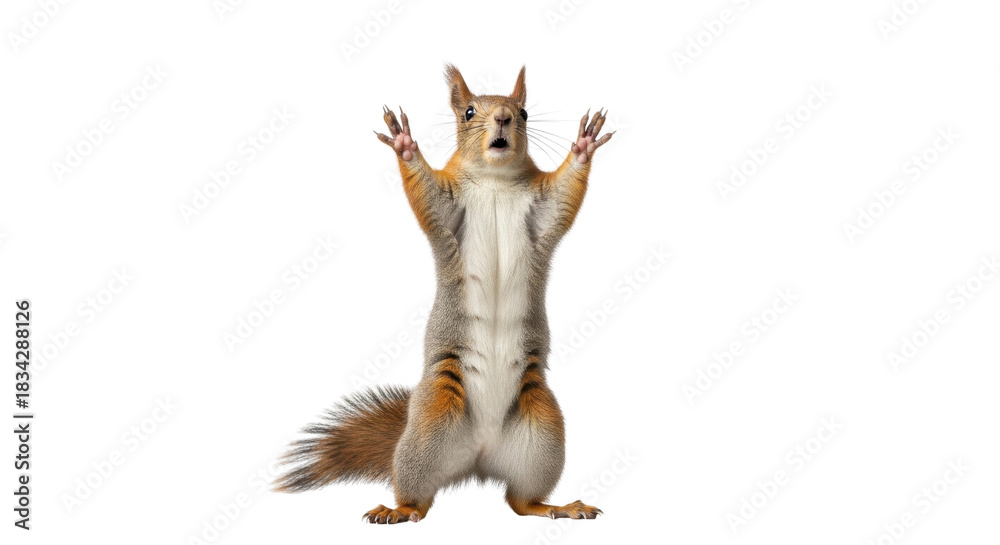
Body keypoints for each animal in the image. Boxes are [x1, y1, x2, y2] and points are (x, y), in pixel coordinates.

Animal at [275, 64, 613, 524]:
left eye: (524, 113)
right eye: (469, 112)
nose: (503, 118)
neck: (493, 179)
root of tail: (479, 459)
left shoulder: (541, 211)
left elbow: (563, 196)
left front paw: (583, 146)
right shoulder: (447, 208)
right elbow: (426, 193)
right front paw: (404, 144)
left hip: (541, 431)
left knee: (521, 502)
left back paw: (558, 506)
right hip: (430, 425)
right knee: (419, 496)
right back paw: (398, 510)